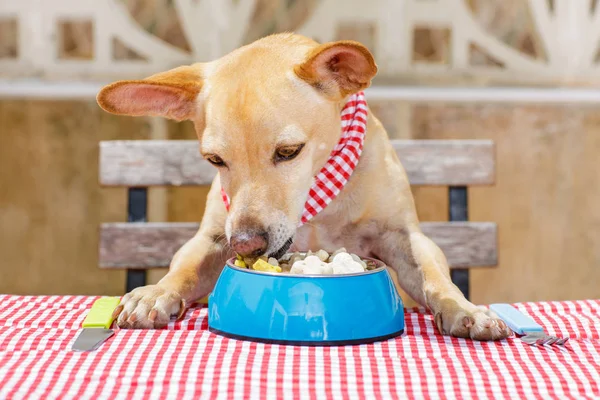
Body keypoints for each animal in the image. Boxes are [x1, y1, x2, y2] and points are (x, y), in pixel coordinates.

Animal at [98, 33, 510, 340]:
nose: (245, 243)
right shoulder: (212, 239)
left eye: (288, 151)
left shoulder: (405, 238)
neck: (317, 198)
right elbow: (183, 268)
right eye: (214, 160)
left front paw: (465, 309)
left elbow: (437, 279)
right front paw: (156, 292)